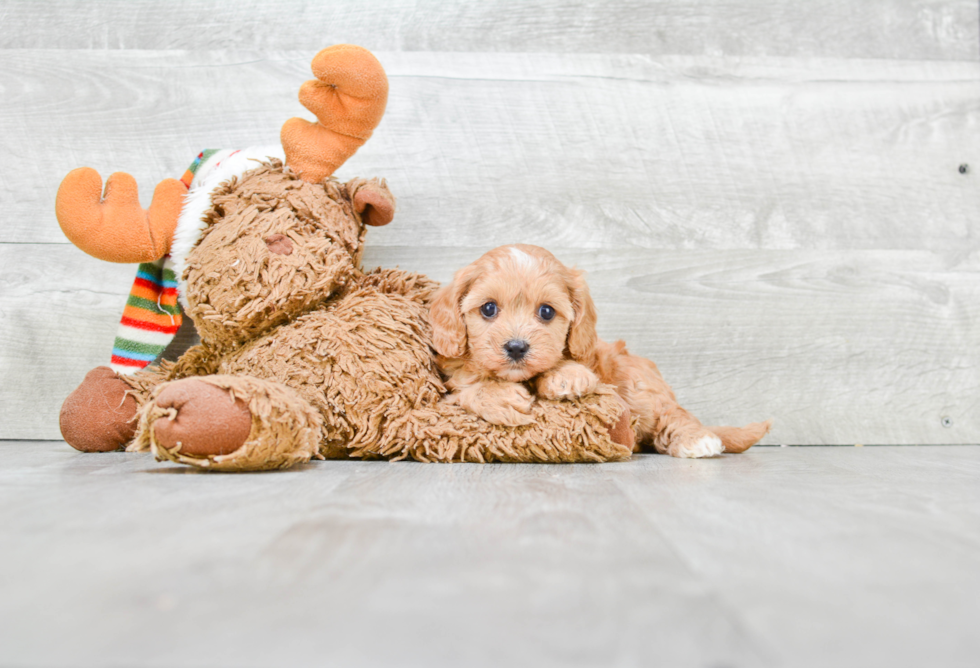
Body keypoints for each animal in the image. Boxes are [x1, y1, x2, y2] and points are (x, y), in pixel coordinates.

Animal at [428, 245, 772, 460]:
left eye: (546, 311)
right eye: (488, 308)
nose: (516, 346)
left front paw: (567, 375)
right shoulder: (447, 386)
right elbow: (467, 385)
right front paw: (499, 397)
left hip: (638, 385)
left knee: (673, 413)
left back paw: (697, 439)